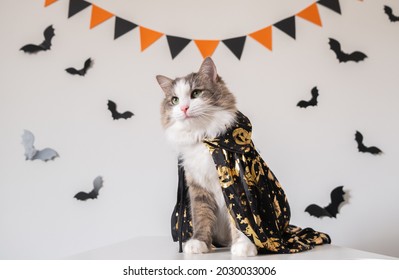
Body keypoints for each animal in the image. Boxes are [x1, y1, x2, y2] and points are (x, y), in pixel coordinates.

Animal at [155, 57, 258, 256]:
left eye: (196, 93)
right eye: (174, 100)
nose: (184, 108)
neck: (203, 137)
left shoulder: (233, 184)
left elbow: (239, 218)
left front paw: (243, 246)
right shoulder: (197, 187)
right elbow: (201, 216)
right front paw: (198, 243)